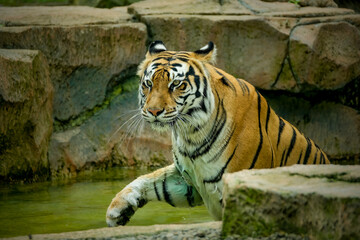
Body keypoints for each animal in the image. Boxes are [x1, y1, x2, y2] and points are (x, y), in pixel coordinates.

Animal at [105, 40, 330, 226]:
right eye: (148, 84)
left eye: (176, 84)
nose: (153, 111)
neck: (191, 134)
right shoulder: (189, 180)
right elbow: (151, 180)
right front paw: (118, 209)